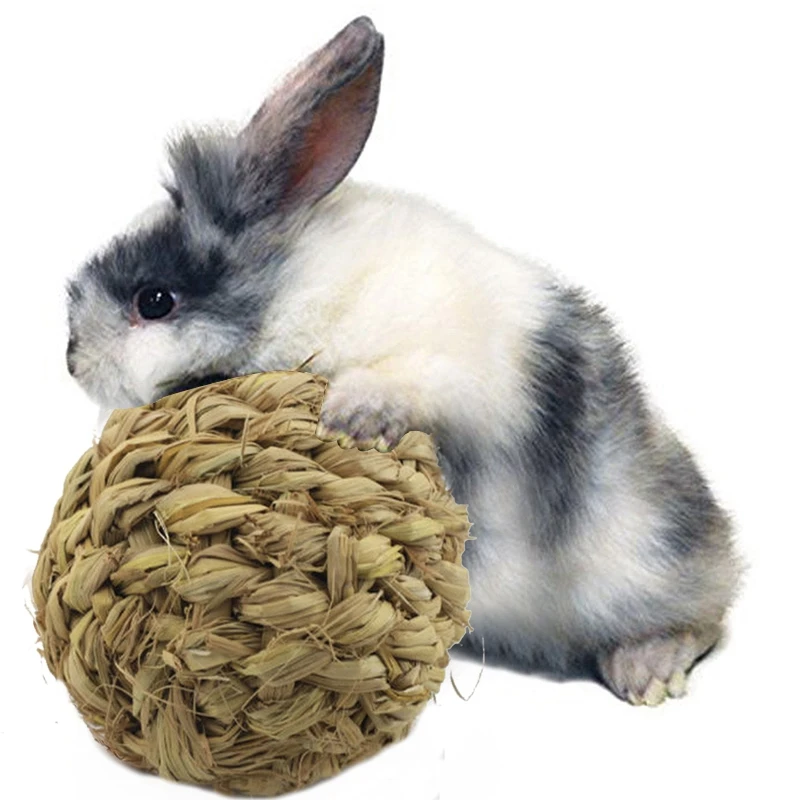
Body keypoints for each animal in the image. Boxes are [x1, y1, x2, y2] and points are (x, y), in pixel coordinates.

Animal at [65, 16, 741, 705]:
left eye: (154, 301)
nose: (71, 360)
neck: (293, 288)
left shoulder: (451, 369)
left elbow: (403, 382)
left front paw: (349, 418)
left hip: (642, 561)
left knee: (704, 617)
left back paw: (648, 670)